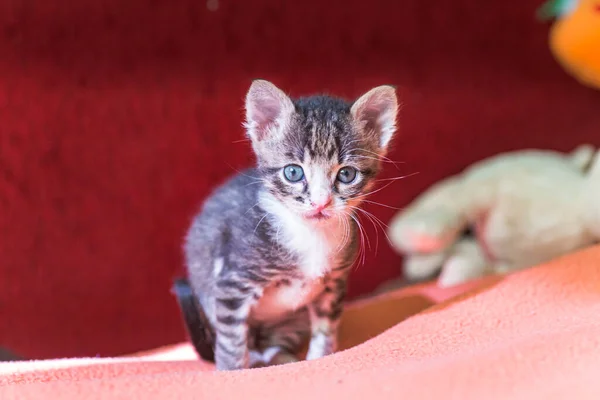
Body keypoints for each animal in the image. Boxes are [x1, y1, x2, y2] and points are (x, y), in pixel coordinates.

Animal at [184, 79, 398, 370]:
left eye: (347, 174)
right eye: (293, 172)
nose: (320, 202)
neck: (310, 234)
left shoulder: (334, 284)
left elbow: (326, 329)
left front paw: (320, 358)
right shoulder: (233, 283)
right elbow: (231, 341)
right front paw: (231, 371)